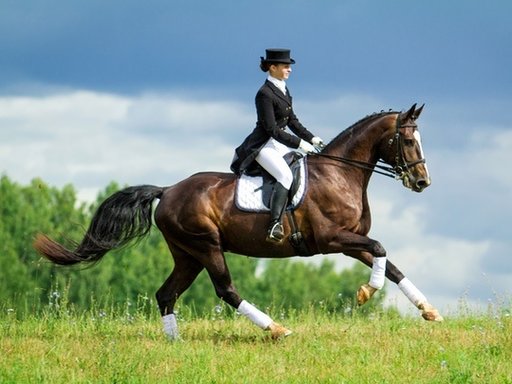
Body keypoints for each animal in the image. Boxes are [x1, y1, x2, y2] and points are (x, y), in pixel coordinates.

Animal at [35, 103, 444, 340]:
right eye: (408, 141)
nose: (422, 182)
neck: (341, 174)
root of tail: (168, 191)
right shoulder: (333, 239)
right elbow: (381, 250)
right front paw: (364, 293)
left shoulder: (351, 240)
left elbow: (390, 265)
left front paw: (429, 311)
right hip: (206, 246)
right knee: (225, 290)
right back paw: (275, 328)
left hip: (187, 254)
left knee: (166, 294)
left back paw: (174, 342)